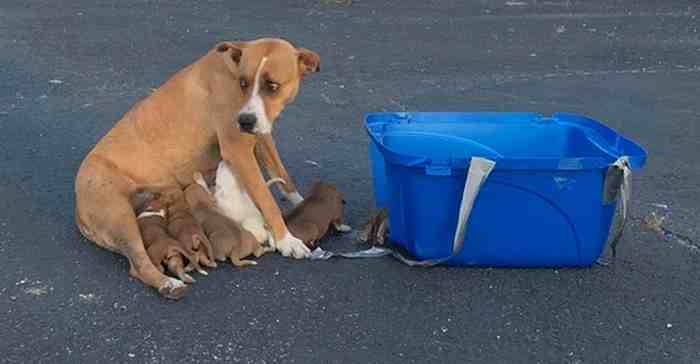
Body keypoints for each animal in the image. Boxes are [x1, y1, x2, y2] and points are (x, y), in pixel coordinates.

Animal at [74, 37, 320, 298]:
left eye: (272, 85)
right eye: (243, 83)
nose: (244, 121)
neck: (231, 69)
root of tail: (78, 205)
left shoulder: (262, 137)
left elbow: (283, 177)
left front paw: (302, 205)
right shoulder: (238, 150)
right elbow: (266, 199)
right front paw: (286, 240)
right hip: (121, 216)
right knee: (138, 264)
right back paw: (168, 283)